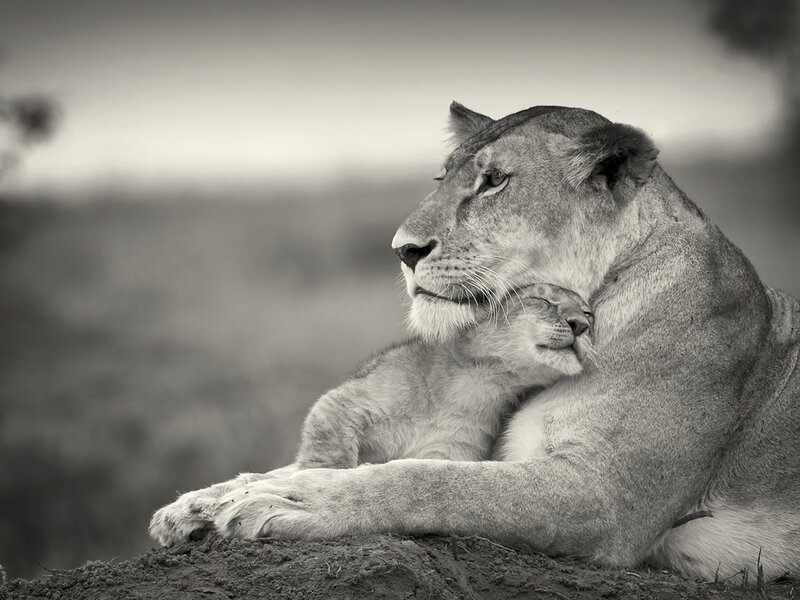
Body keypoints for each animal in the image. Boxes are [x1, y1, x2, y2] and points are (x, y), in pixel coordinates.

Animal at [150, 102, 800, 581]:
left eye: (494, 183)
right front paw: (203, 503)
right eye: (444, 179)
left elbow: (429, 481)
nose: (403, 250)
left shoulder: (606, 496)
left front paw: (290, 501)